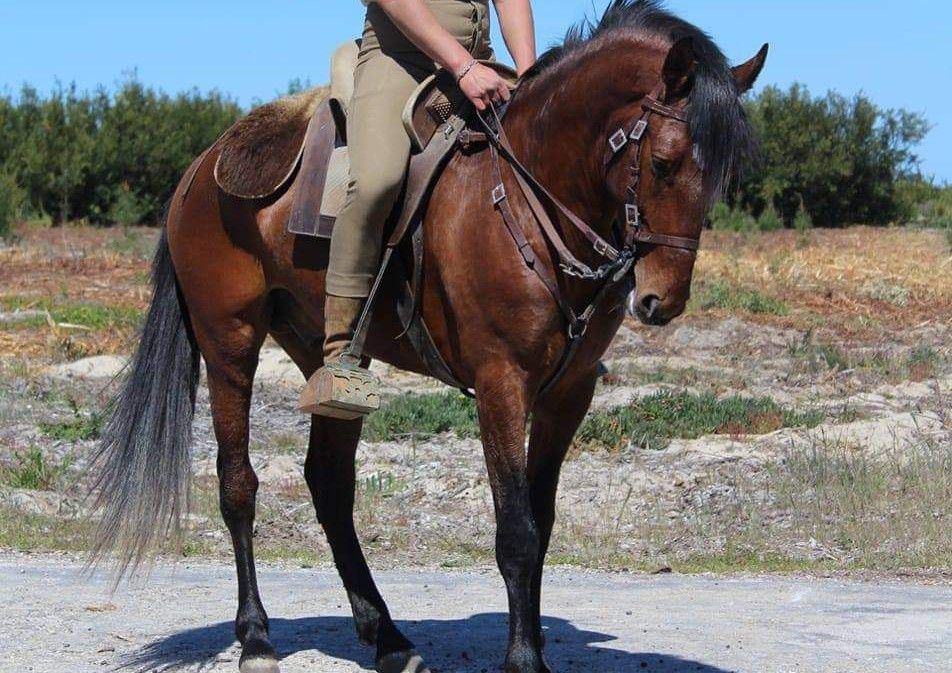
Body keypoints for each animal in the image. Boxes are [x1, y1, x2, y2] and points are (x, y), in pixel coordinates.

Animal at [89, 2, 766, 672]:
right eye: (664, 162)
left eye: (721, 176)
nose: (662, 301)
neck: (524, 197)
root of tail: (201, 169)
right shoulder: (501, 384)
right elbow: (516, 532)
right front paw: (524, 659)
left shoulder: (567, 393)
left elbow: (541, 520)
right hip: (228, 340)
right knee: (238, 486)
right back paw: (257, 638)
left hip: (329, 359)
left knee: (329, 483)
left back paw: (388, 637)